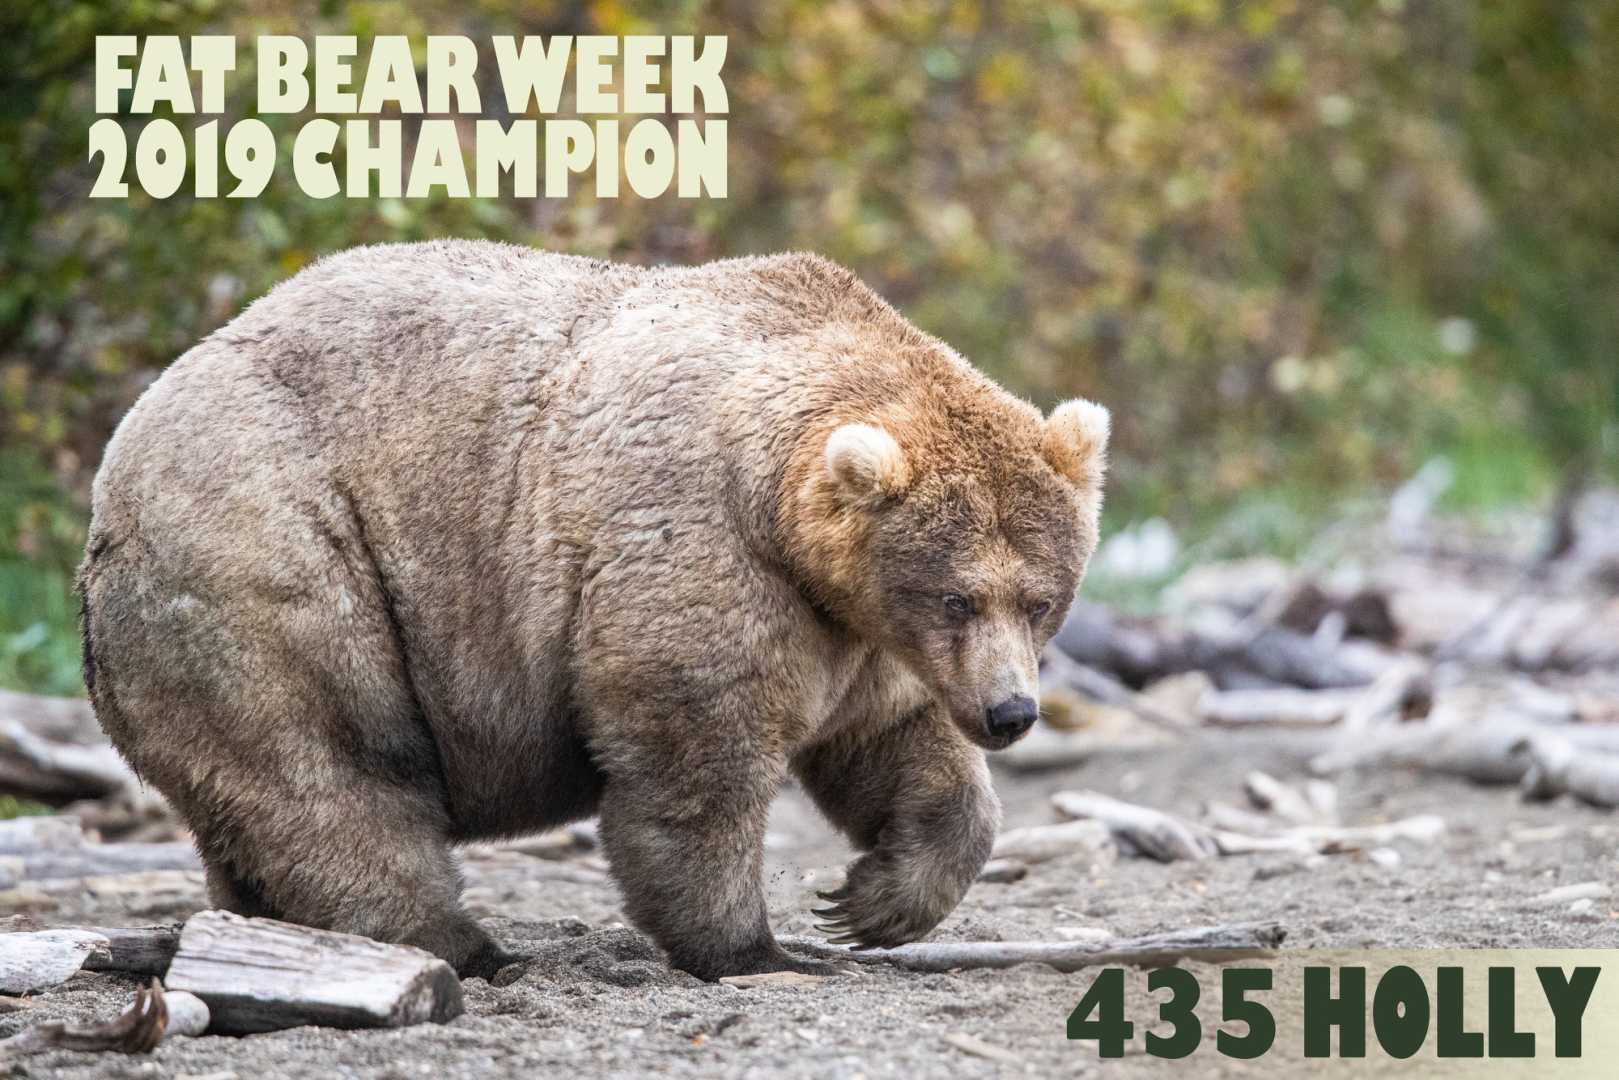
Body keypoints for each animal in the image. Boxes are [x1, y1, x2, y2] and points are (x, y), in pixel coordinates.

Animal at [76, 241, 1110, 981]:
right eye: (956, 593)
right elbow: (695, 757)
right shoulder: (700, 547)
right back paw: (462, 945)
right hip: (275, 550)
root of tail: (119, 459)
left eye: (1040, 598)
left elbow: (895, 744)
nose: (1011, 713)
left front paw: (872, 902)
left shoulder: (858, 631)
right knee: (330, 765)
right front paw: (755, 948)